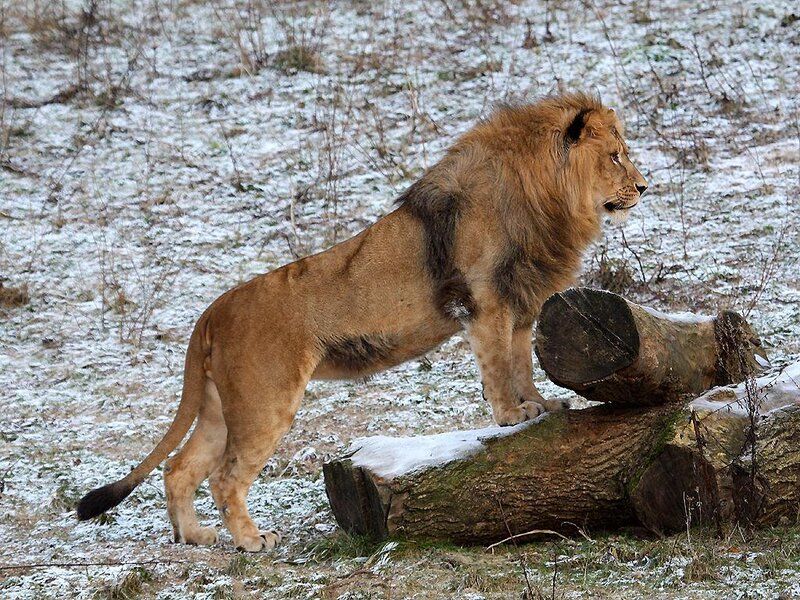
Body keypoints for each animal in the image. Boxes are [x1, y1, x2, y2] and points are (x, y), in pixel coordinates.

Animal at [77, 93, 648, 551]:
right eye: (615, 156)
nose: (644, 187)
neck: (547, 197)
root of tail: (211, 312)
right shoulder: (485, 301)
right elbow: (498, 367)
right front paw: (512, 416)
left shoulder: (522, 303)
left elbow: (522, 360)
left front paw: (541, 405)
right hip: (265, 403)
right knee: (224, 477)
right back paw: (252, 541)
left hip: (221, 407)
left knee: (179, 469)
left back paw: (195, 537)